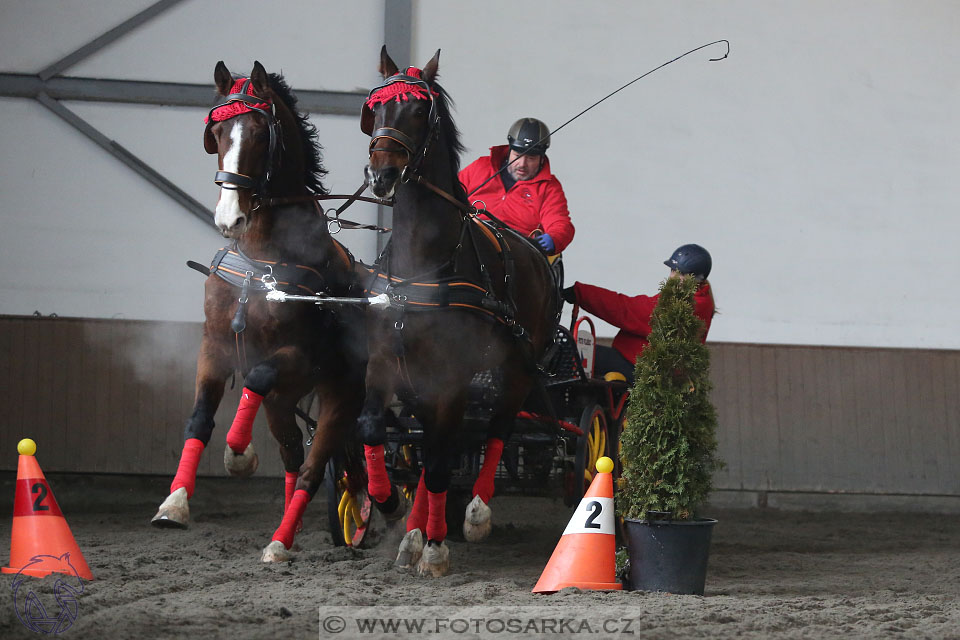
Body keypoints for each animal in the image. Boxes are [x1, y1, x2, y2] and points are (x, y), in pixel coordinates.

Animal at [152, 62, 366, 564]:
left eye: (258, 134)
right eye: (217, 132)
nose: (229, 218)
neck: (261, 261)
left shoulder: (297, 357)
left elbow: (255, 376)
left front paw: (238, 453)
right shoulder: (213, 347)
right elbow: (199, 418)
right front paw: (174, 503)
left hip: (339, 397)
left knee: (314, 468)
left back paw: (281, 541)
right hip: (284, 403)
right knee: (292, 456)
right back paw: (289, 527)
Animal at [358, 46, 556, 576]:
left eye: (417, 110)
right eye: (376, 108)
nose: (383, 174)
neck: (420, 267)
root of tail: (531, 248)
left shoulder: (449, 379)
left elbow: (443, 463)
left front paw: (436, 546)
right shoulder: (385, 366)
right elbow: (375, 431)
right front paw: (389, 506)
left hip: (517, 369)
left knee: (497, 430)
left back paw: (476, 513)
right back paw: (410, 532)